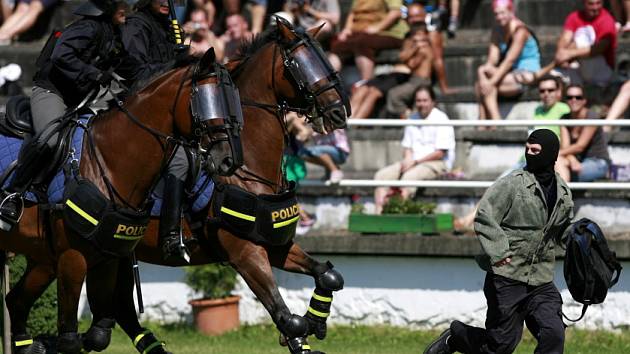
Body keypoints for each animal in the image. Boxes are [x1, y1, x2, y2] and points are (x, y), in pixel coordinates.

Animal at [0, 48, 244, 352]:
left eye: (234, 99)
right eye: (206, 99)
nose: (229, 160)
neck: (109, 162)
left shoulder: (106, 258)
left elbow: (98, 335)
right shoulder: (71, 258)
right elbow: (70, 339)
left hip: (40, 258)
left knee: (16, 301)